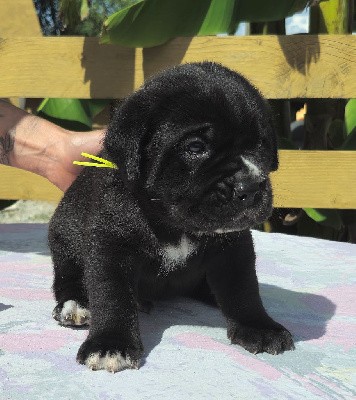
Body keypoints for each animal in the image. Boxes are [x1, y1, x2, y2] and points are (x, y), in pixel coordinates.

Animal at [48, 61, 294, 372]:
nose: (248, 187)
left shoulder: (234, 247)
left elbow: (243, 286)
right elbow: (111, 295)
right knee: (68, 277)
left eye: (260, 146)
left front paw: (258, 326)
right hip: (64, 241)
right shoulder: (110, 246)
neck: (173, 223)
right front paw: (110, 343)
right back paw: (76, 304)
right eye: (196, 148)